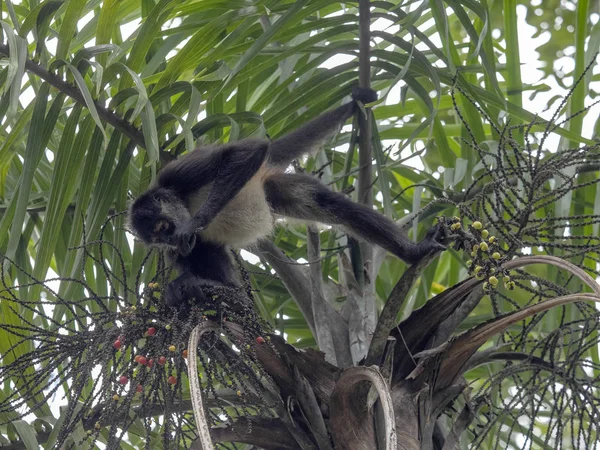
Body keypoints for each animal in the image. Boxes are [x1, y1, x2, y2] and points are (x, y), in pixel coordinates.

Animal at [127, 87, 446, 310]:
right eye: (157, 238)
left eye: (163, 227)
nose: (169, 239)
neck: (180, 201)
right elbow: (186, 252)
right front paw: (195, 274)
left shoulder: (178, 174)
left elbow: (248, 151)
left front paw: (195, 222)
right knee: (202, 252)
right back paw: (217, 285)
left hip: (269, 188)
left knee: (324, 202)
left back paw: (414, 252)